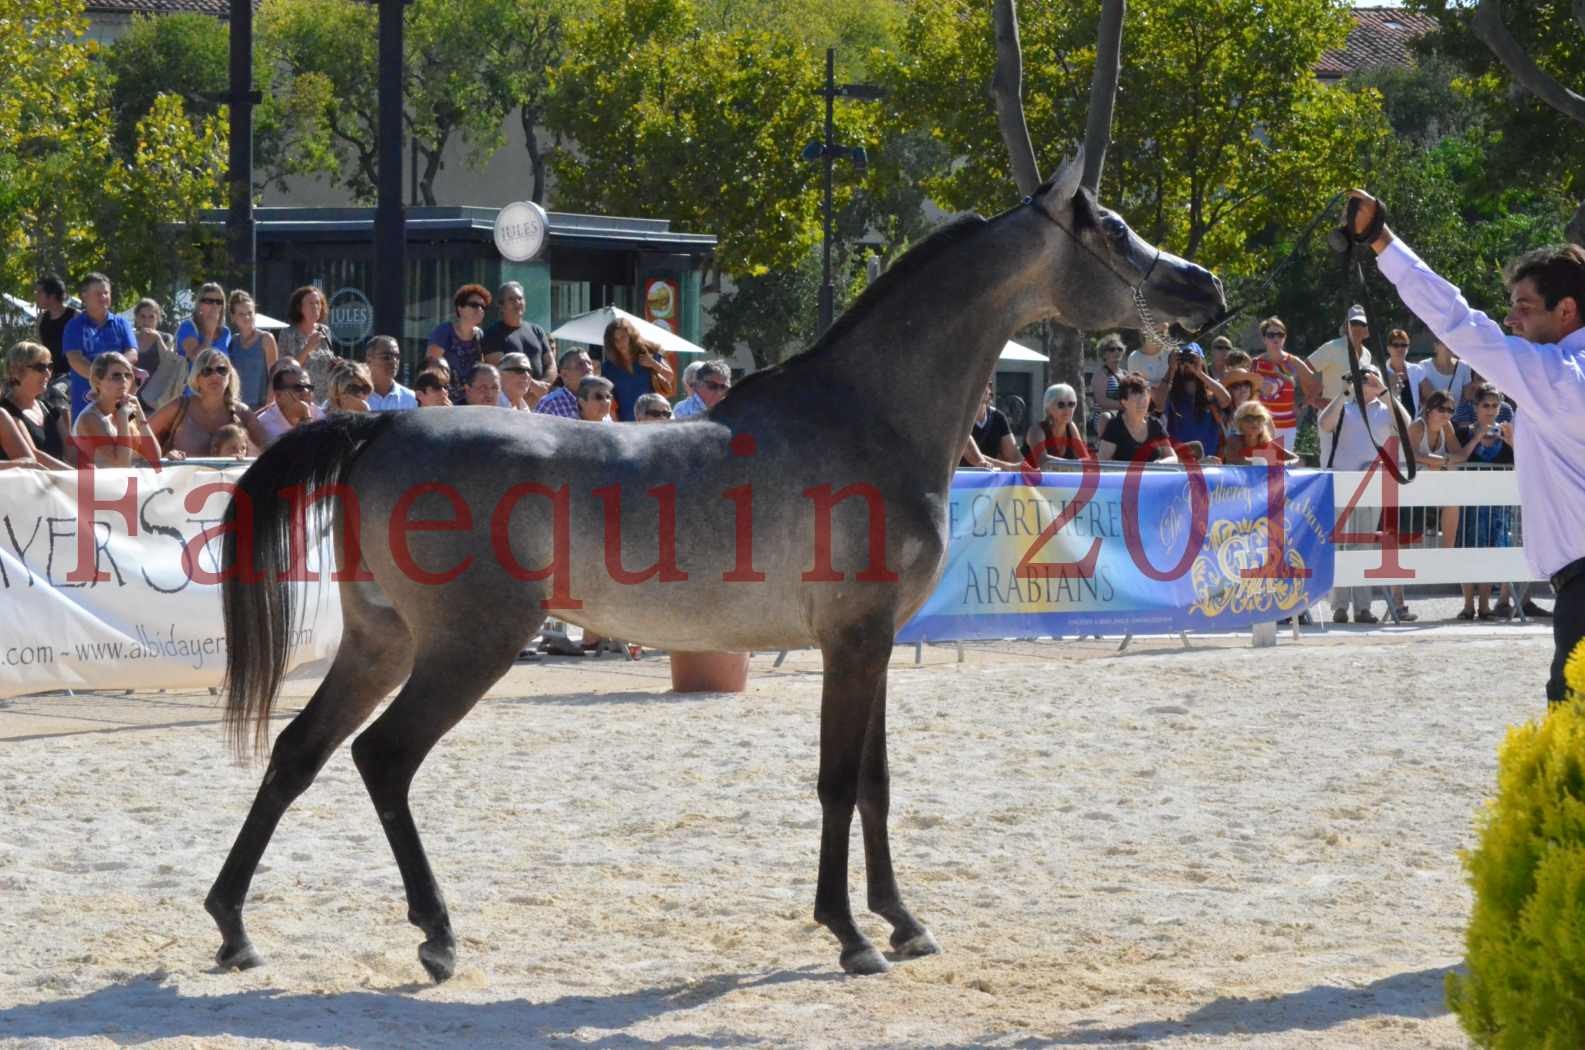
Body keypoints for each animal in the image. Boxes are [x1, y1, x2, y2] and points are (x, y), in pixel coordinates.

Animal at [210, 154, 1223, 989]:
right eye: (1113, 229)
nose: (1202, 285)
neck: (865, 415)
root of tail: (383, 425)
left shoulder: (873, 644)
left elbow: (877, 782)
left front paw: (903, 922)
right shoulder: (852, 640)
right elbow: (838, 780)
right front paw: (849, 934)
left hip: (379, 642)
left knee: (299, 751)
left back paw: (234, 928)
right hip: (470, 646)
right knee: (382, 758)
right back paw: (437, 936)